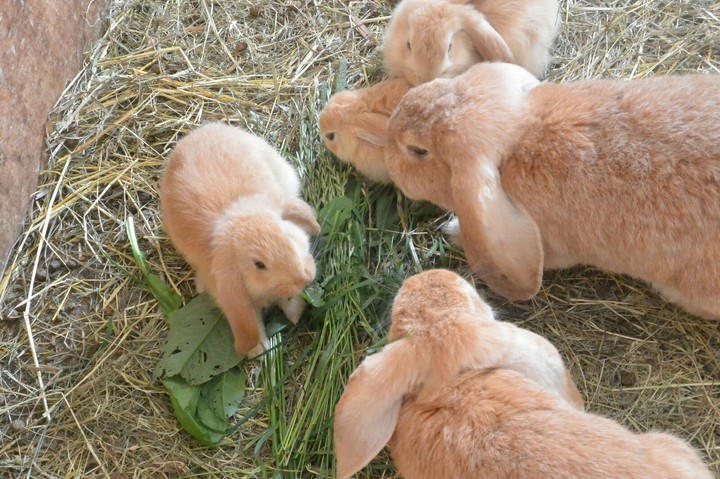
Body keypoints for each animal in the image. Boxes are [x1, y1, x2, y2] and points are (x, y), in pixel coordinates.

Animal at [159, 122, 321, 357]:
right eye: (259, 265)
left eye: (289, 235)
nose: (304, 279)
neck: (236, 217)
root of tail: (199, 131)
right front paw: (258, 349)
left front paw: (295, 313)